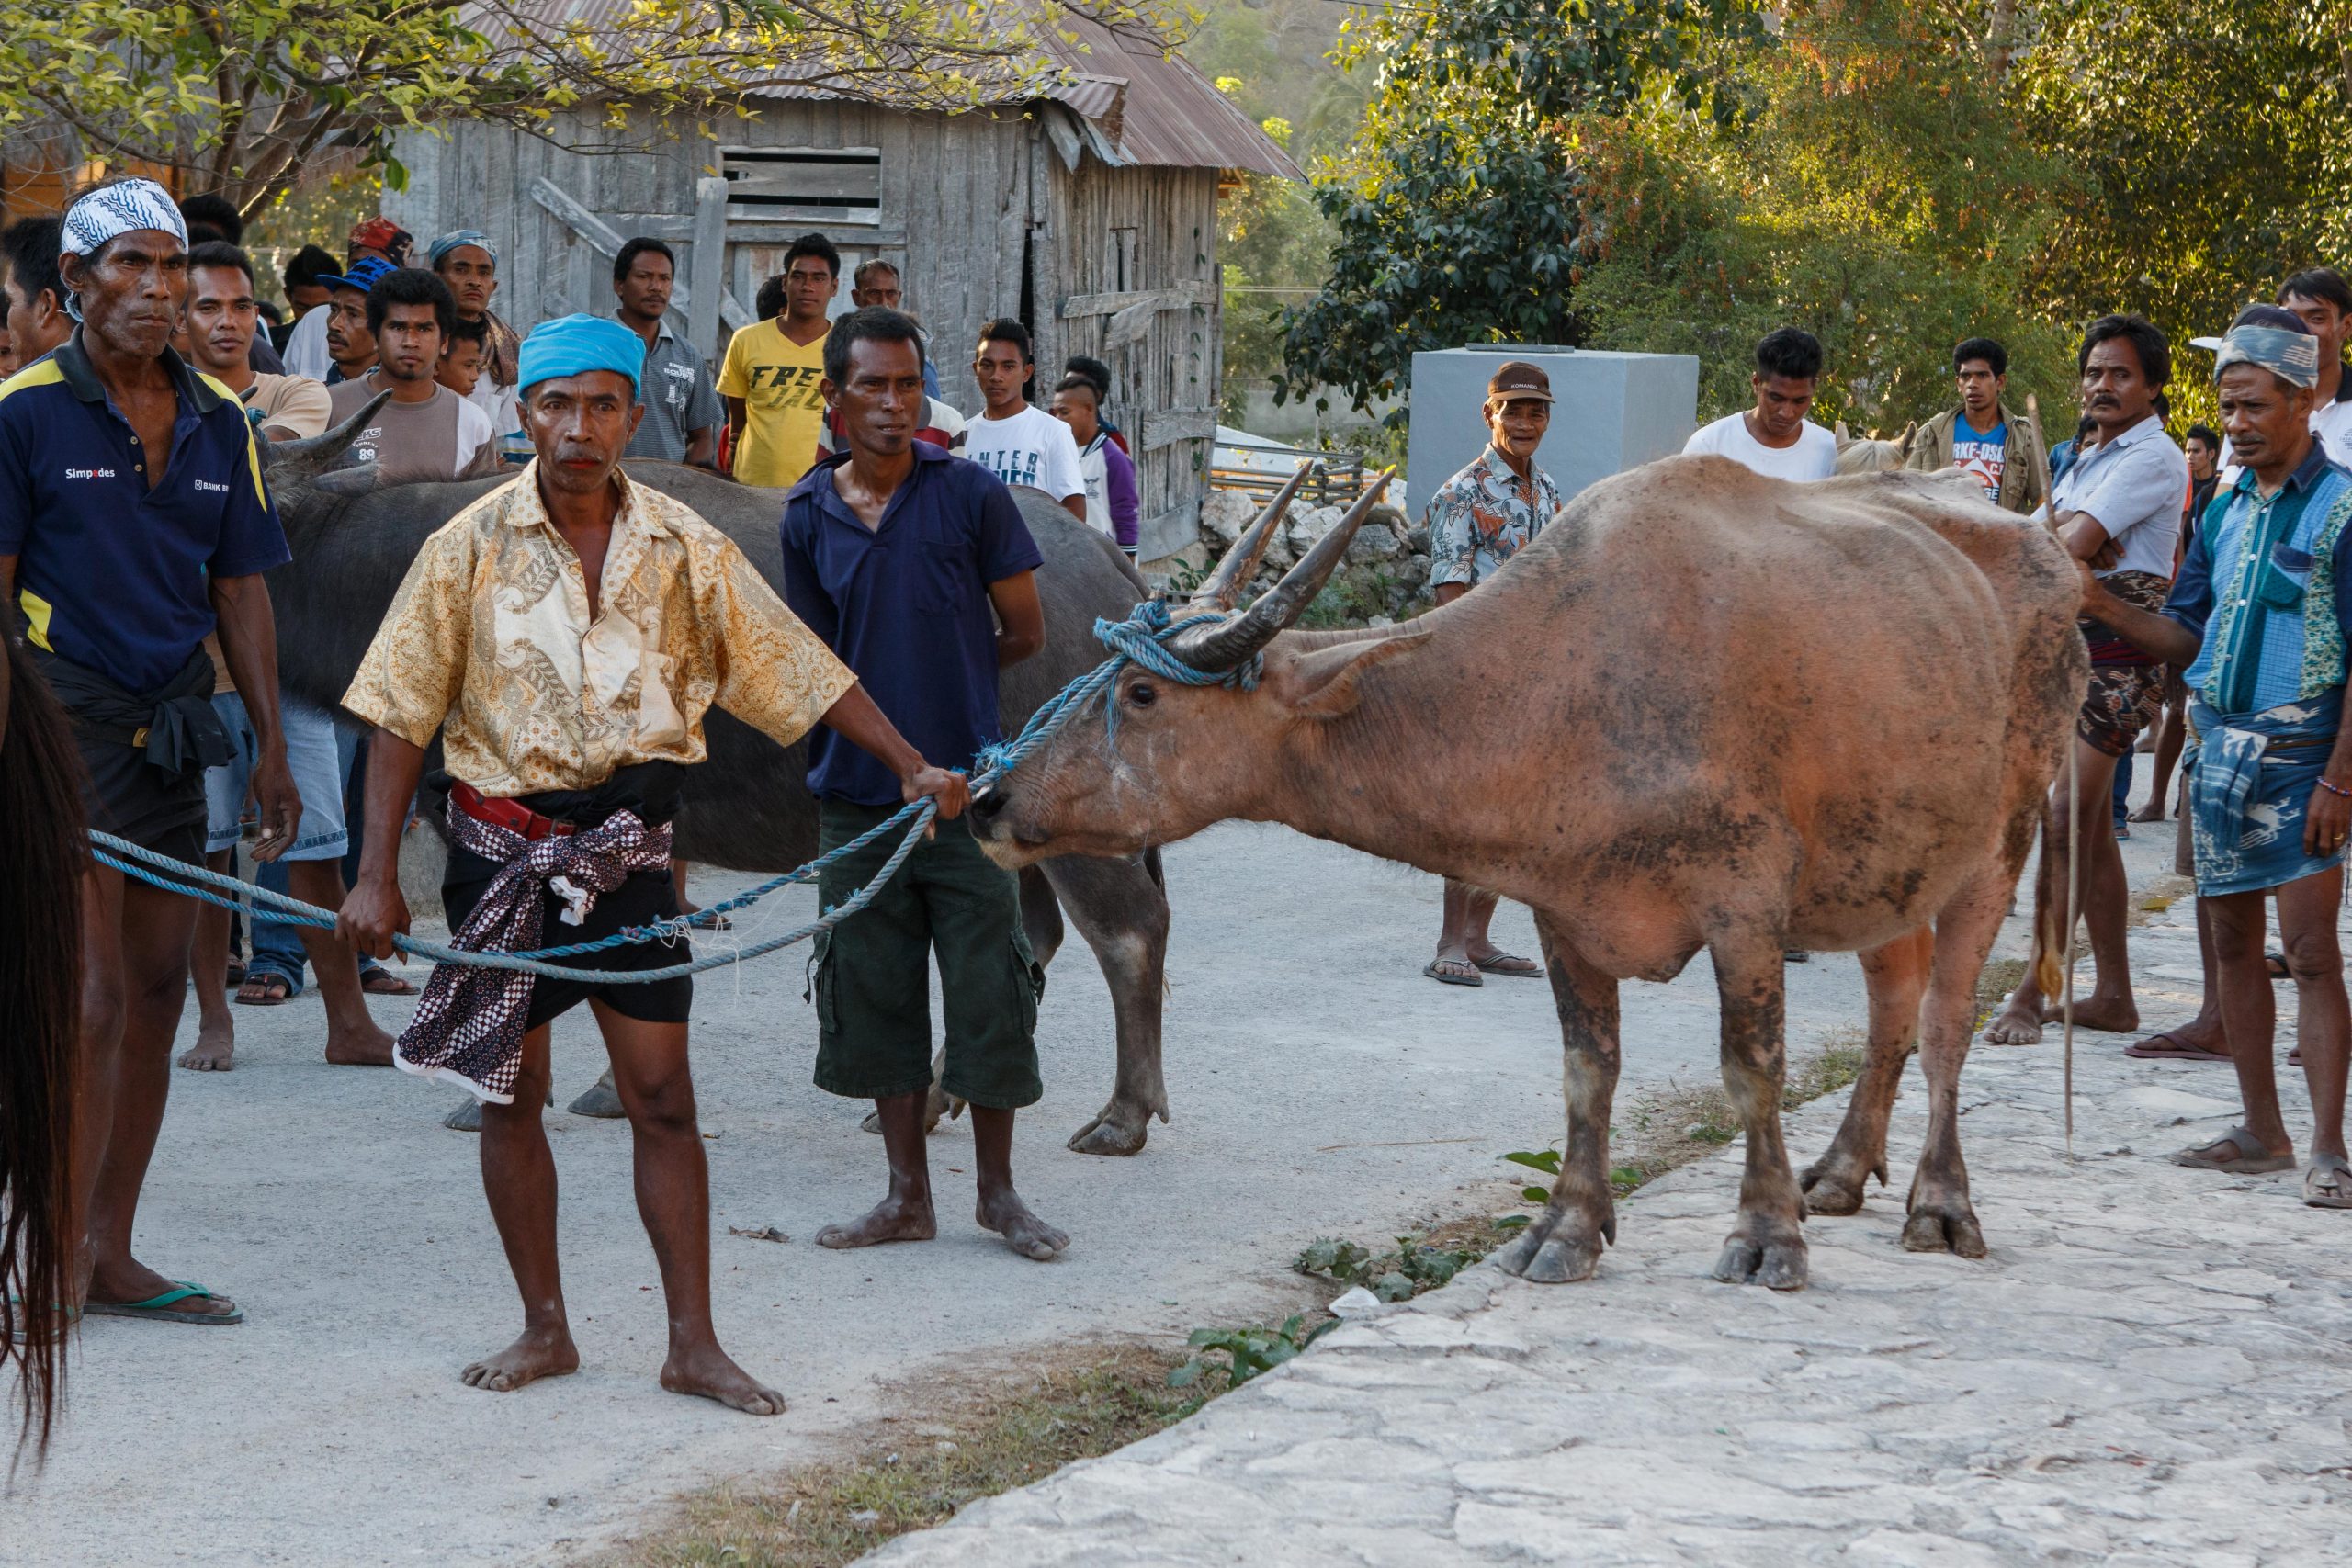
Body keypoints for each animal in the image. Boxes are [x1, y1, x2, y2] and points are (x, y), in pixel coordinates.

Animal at [964, 453, 2088, 1288]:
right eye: (1101, 676)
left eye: (1144, 694)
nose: (989, 797)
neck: (1565, 681)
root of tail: (2047, 551)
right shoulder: (1563, 909)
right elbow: (1588, 1069)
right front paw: (1568, 1228)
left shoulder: (1745, 911)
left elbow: (1751, 1068)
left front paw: (1765, 1235)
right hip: (1889, 870)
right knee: (1893, 1005)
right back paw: (1845, 1173)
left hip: (2000, 840)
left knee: (1943, 1023)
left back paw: (1939, 1201)